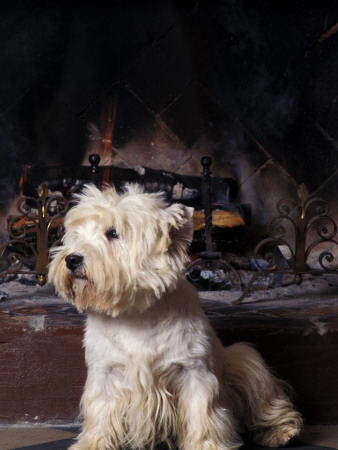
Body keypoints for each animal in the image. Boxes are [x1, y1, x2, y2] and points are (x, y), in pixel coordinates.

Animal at [48, 184, 302, 450]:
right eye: (75, 234)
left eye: (113, 233)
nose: (71, 259)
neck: (134, 313)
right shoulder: (106, 373)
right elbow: (100, 412)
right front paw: (91, 444)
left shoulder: (193, 372)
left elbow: (201, 413)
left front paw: (206, 445)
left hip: (244, 363)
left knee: (266, 401)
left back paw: (281, 432)